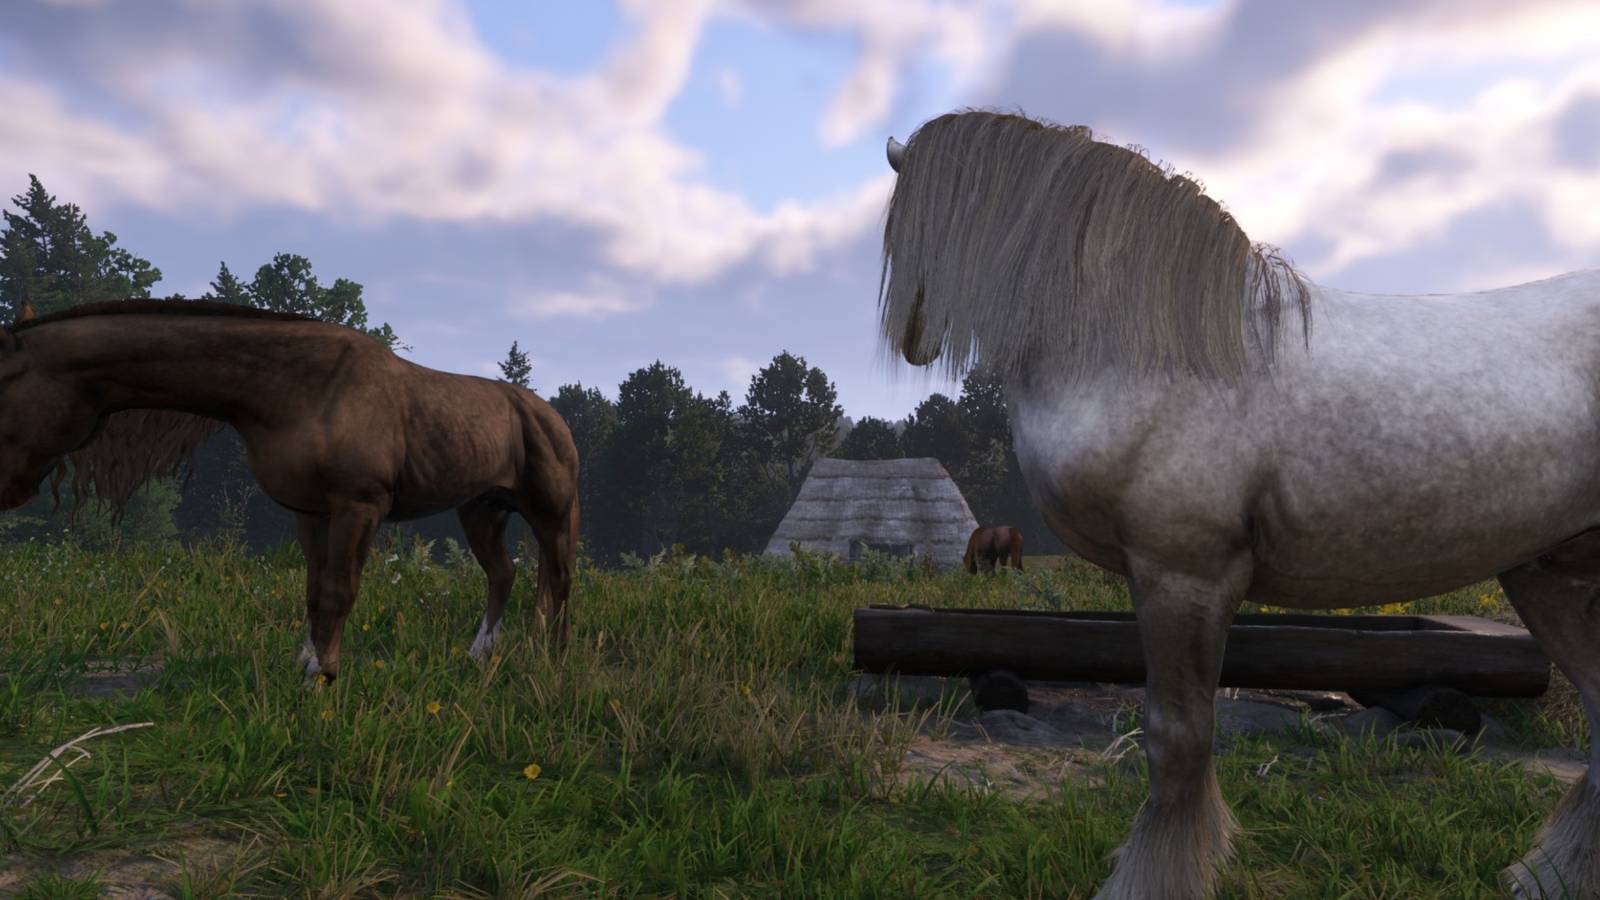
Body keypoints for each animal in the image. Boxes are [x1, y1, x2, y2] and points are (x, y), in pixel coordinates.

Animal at [0, 299, 579, 683]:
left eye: (4, 382)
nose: (8, 491)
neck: (298, 388)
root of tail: (551, 416)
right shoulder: (310, 511)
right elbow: (313, 589)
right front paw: (307, 662)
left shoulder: (358, 506)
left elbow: (339, 590)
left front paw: (323, 677)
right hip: (481, 511)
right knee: (503, 574)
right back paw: (478, 655)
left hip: (548, 511)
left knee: (559, 578)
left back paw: (553, 659)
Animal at [882, 111, 1600, 899]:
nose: (913, 336)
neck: (1157, 351)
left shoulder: (1185, 576)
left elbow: (1177, 740)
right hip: (1552, 578)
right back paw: (1549, 876)